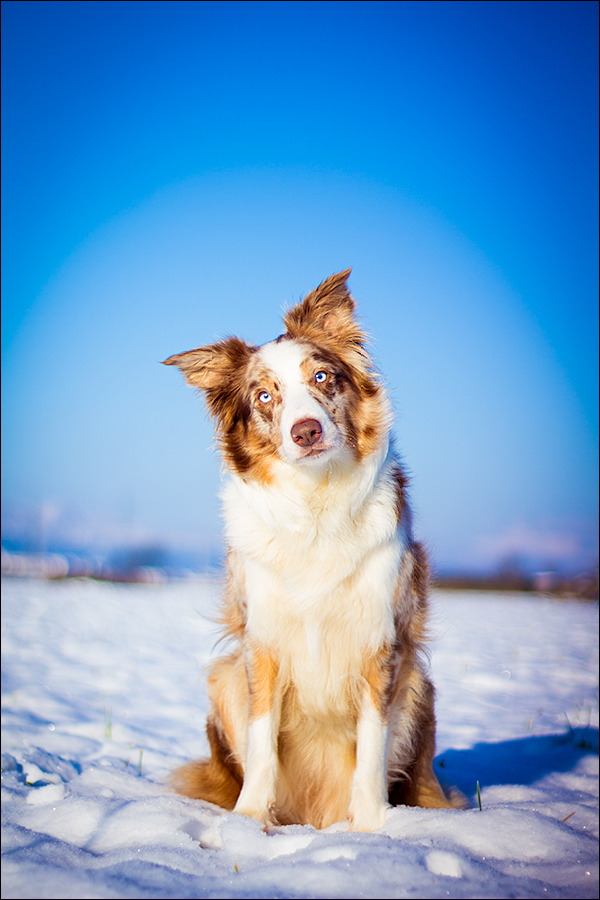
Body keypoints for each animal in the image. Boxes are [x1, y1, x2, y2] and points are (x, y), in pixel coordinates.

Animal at [162, 268, 462, 828]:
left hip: (419, 686)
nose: (306, 431)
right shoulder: (261, 645)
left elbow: (371, 748)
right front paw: (246, 823)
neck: (314, 503)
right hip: (224, 677)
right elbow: (262, 744)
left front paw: (370, 826)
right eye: (264, 396)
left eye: (322, 378)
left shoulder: (379, 645)